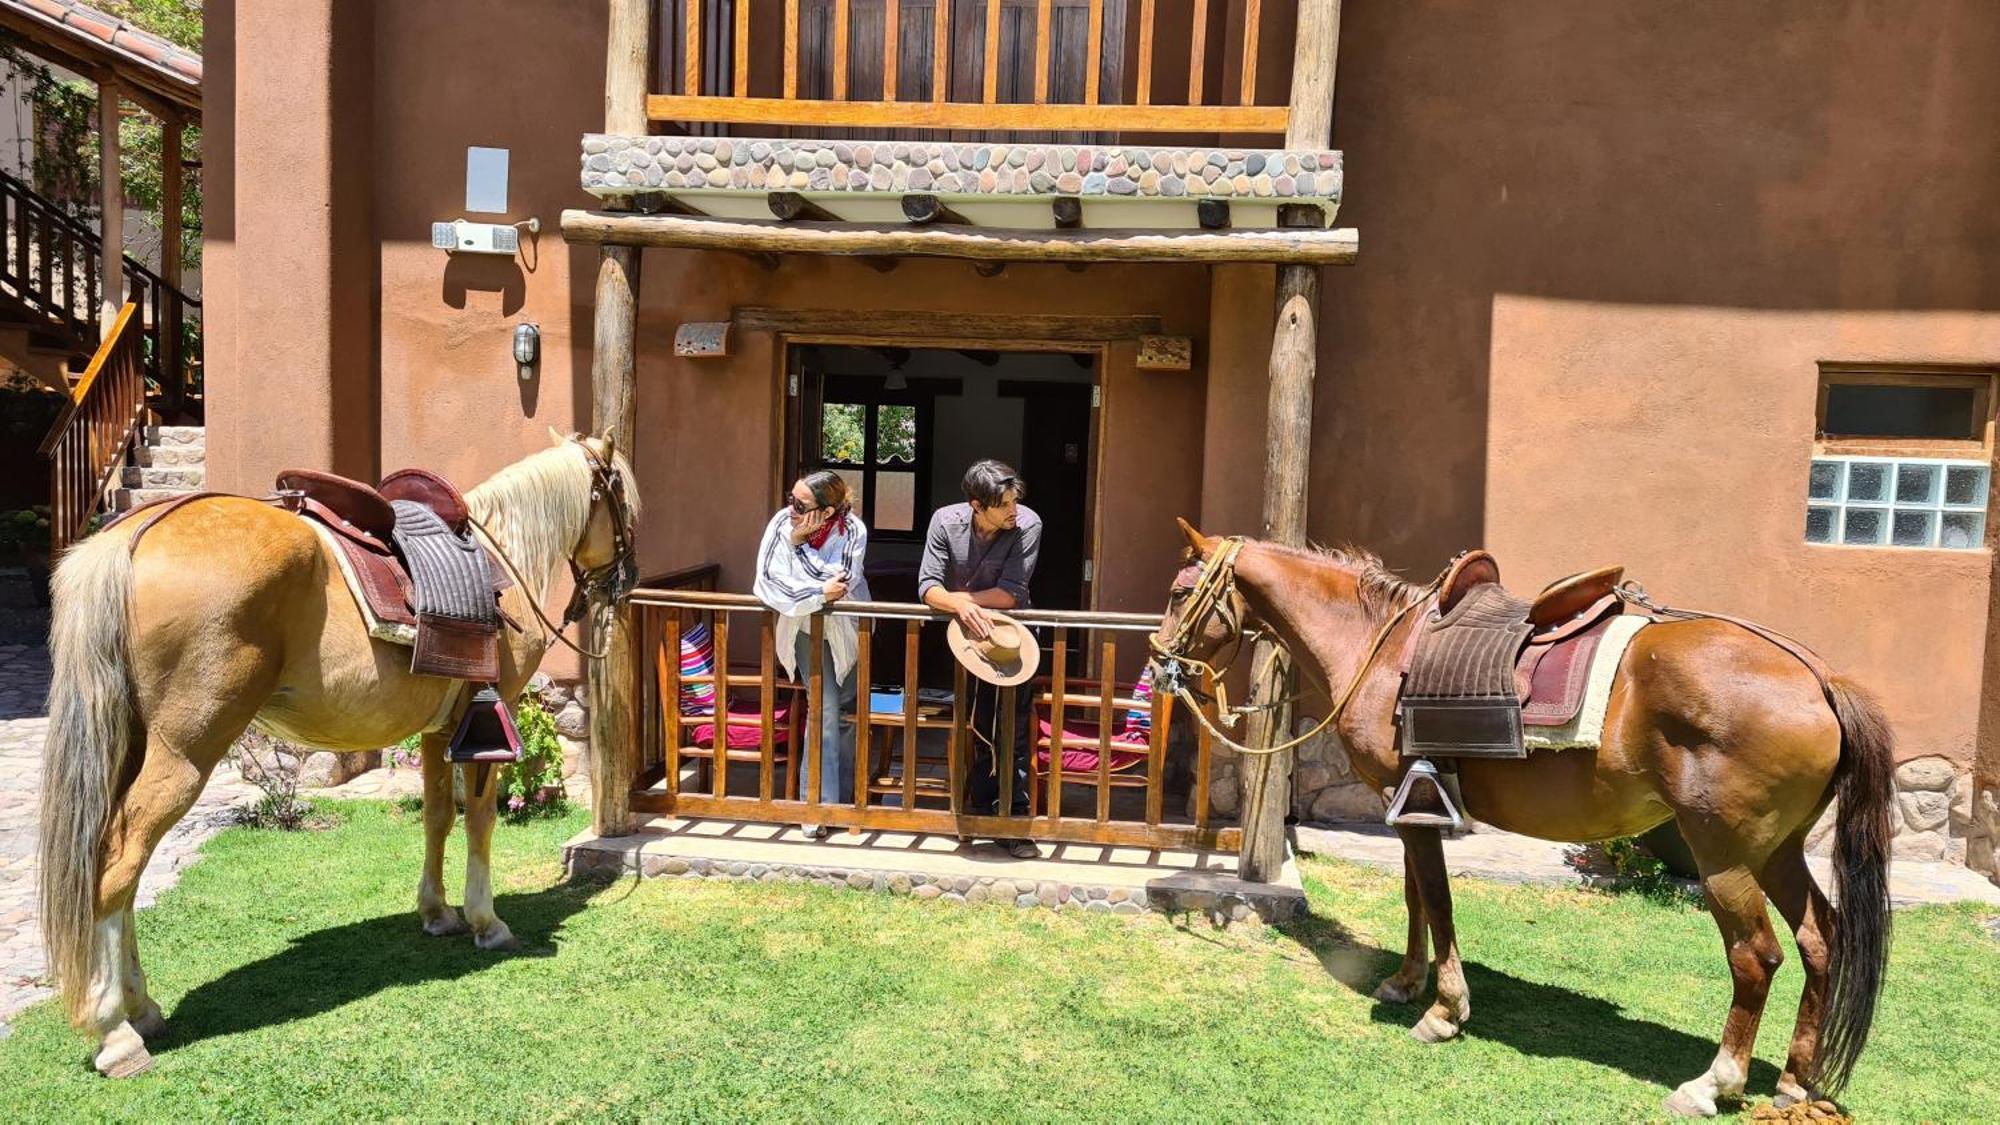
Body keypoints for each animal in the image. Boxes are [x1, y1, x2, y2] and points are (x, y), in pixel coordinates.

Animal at [39, 426, 636, 1064]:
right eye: (623, 498)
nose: (627, 579)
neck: (502, 555)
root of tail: (130, 538)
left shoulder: (438, 729)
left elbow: (437, 817)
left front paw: (437, 913)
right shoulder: (484, 727)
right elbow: (479, 821)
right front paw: (485, 921)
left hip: (131, 746)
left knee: (121, 871)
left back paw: (142, 1008)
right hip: (185, 751)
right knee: (119, 863)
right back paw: (114, 1028)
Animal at [1160, 520, 1888, 1112]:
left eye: (1176, 591)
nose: (1160, 660)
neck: (1378, 646)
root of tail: (1819, 679)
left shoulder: (1413, 804)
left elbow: (1439, 902)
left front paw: (1445, 1010)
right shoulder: (1409, 808)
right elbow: (1416, 898)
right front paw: (1405, 983)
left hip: (1724, 853)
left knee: (1756, 956)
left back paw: (1714, 1083)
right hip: (1778, 850)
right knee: (1820, 939)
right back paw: (1794, 1078)